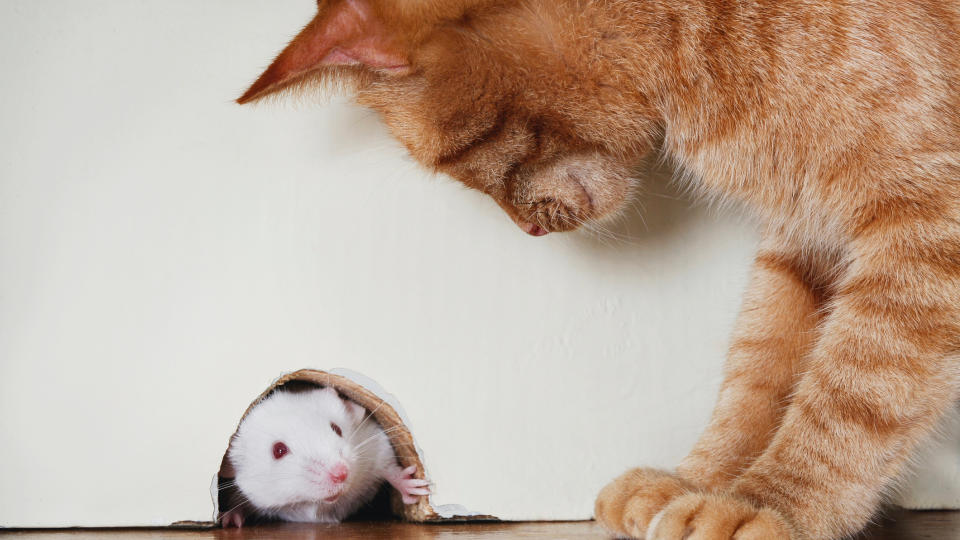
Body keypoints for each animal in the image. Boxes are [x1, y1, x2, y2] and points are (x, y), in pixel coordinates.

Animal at [234, 2, 960, 536]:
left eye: (458, 156)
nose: (525, 230)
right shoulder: (802, 240)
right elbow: (760, 375)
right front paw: (698, 483)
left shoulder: (924, 229)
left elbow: (854, 392)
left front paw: (770, 504)